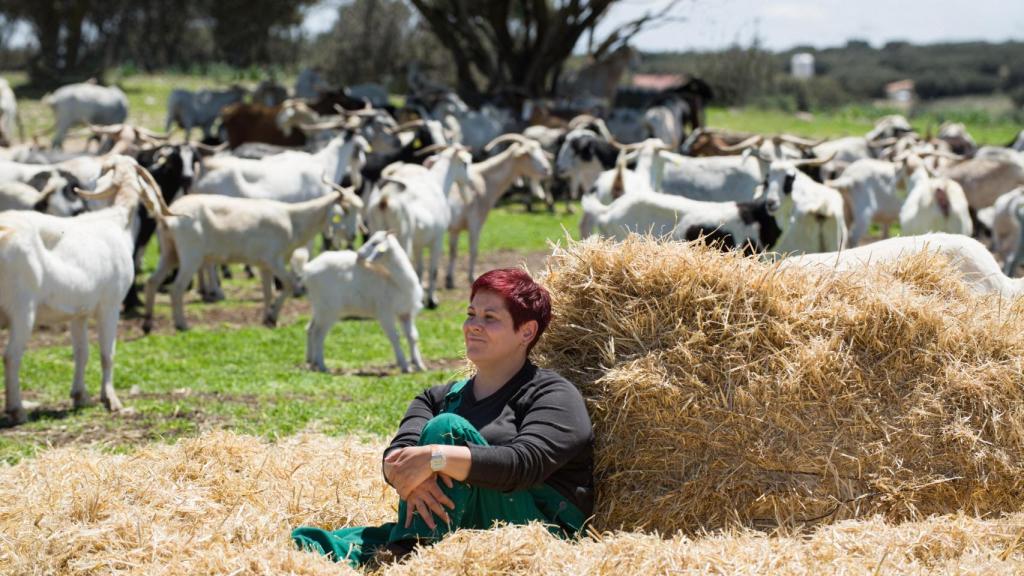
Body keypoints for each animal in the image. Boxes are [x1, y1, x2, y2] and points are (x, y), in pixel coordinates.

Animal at [0, 154, 165, 424]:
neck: (116, 221)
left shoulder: (78, 313)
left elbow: (81, 352)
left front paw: (80, 396)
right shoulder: (110, 305)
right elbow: (107, 353)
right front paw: (112, 401)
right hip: (23, 308)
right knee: (11, 356)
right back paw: (17, 410)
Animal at [307, 228, 428, 373]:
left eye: (375, 243)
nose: (358, 255)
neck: (396, 281)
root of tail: (308, 268)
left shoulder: (406, 312)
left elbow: (413, 336)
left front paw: (419, 364)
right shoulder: (385, 313)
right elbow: (395, 337)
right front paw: (404, 365)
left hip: (319, 307)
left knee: (310, 329)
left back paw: (312, 362)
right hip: (329, 309)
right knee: (318, 334)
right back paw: (322, 366)